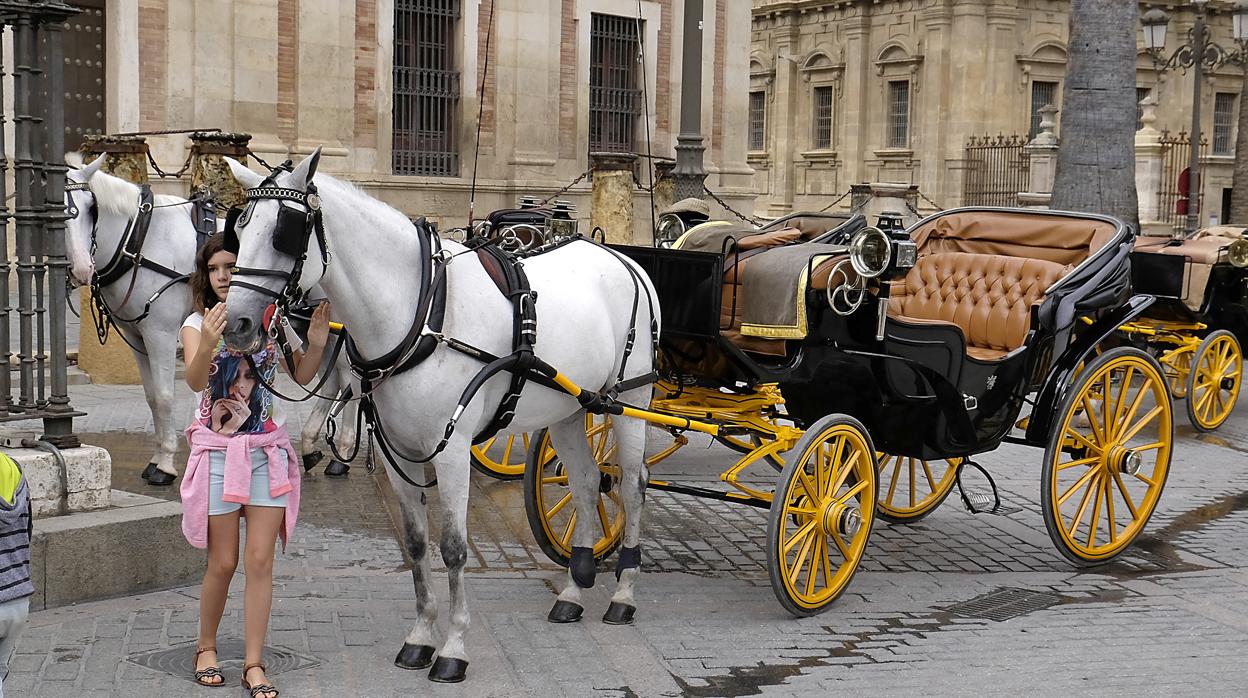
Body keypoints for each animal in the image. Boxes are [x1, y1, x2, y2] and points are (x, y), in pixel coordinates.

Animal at [65, 154, 356, 479]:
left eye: (91, 209)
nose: (81, 268)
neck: (141, 242)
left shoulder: (160, 333)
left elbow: (164, 396)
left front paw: (165, 463)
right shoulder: (137, 337)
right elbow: (152, 397)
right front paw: (157, 456)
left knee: (349, 380)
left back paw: (343, 454)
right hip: (311, 326)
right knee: (333, 379)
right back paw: (310, 445)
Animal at [222, 152, 663, 684]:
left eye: (284, 233)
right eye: (239, 229)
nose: (237, 323)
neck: (423, 313)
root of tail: (625, 259)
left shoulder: (451, 451)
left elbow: (453, 546)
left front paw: (453, 647)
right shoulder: (397, 451)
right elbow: (416, 544)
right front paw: (420, 637)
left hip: (628, 398)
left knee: (632, 485)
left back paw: (623, 595)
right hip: (572, 407)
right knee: (584, 481)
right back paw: (575, 592)